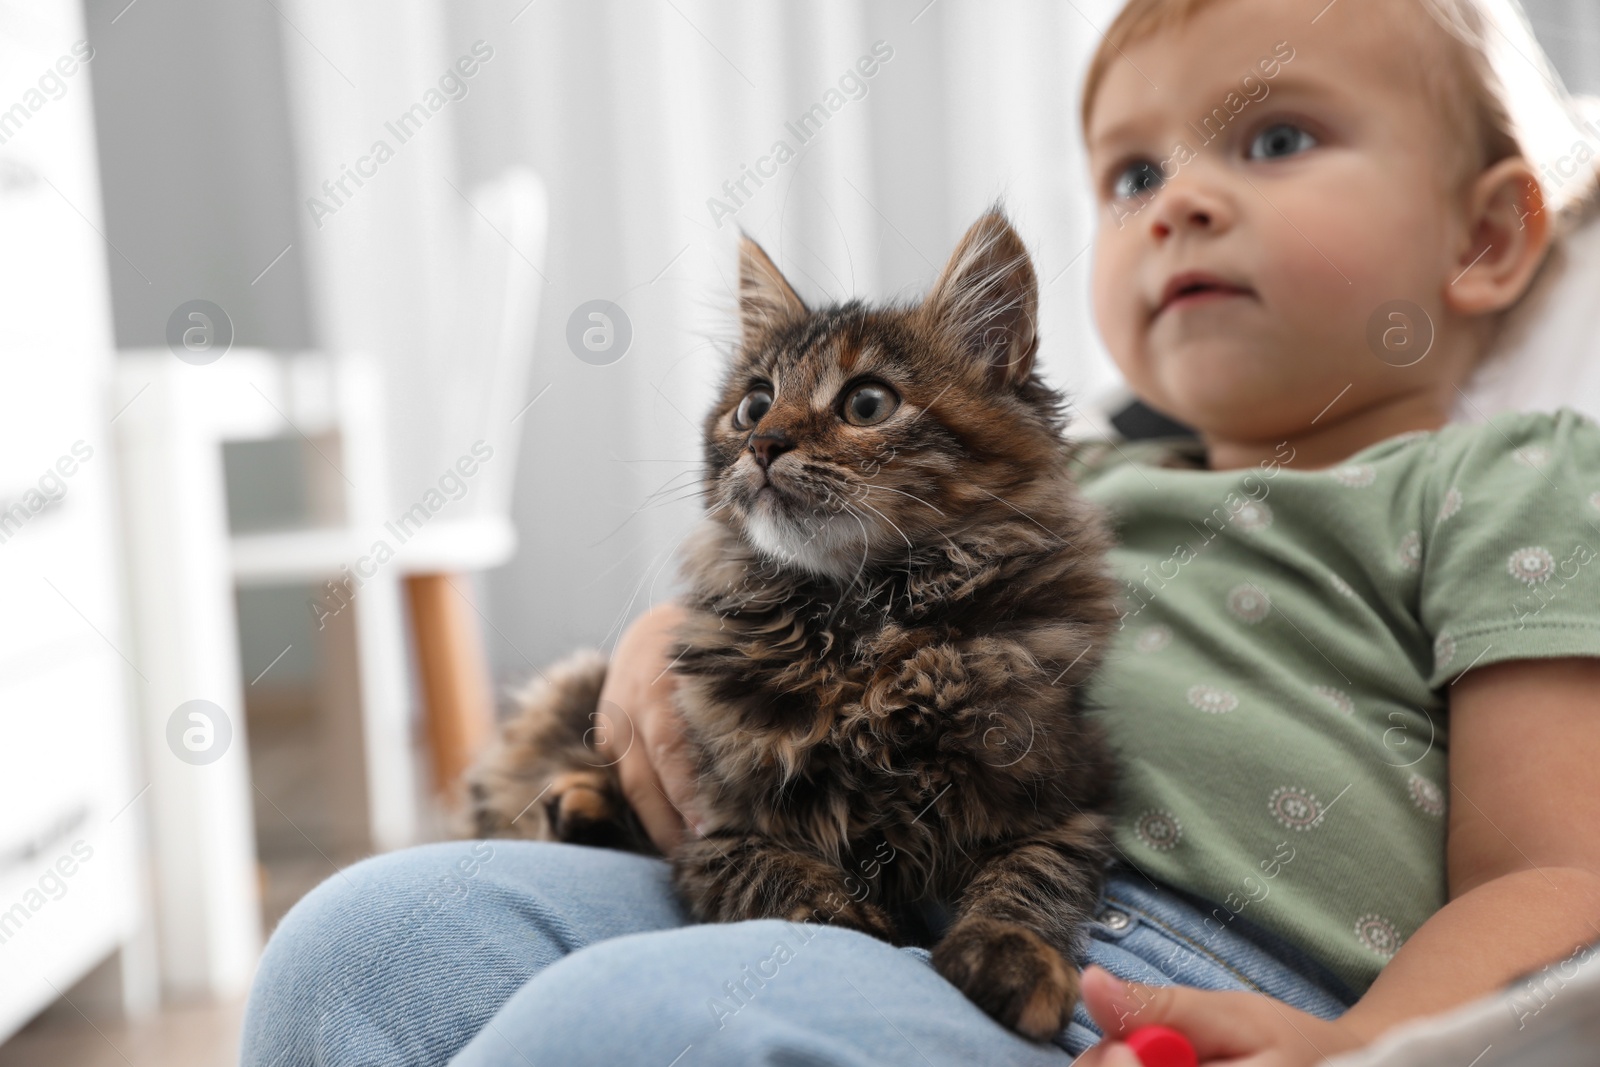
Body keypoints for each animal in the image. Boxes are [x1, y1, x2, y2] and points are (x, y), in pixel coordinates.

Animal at [460, 211, 1113, 1043]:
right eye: (753, 404)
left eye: (866, 404)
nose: (762, 444)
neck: (859, 636)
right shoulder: (715, 824)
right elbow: (775, 873)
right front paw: (852, 918)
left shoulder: (1067, 798)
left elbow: (1030, 877)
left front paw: (1010, 952)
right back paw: (580, 802)